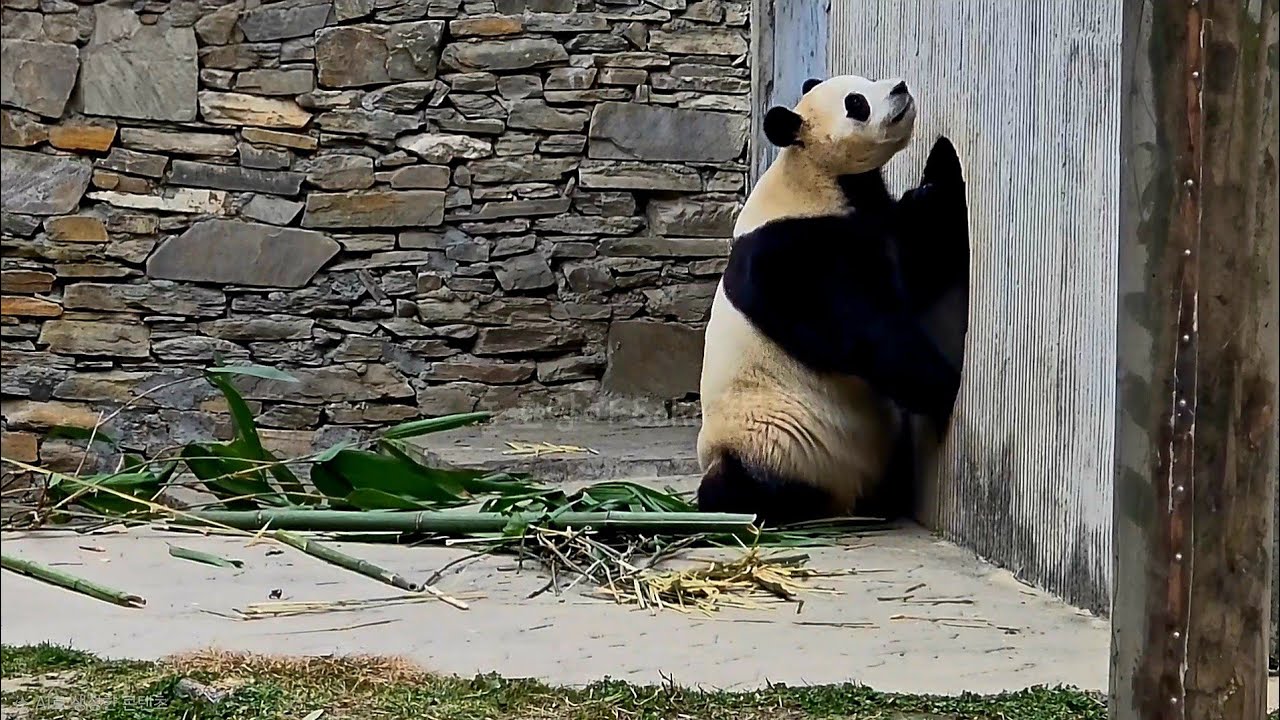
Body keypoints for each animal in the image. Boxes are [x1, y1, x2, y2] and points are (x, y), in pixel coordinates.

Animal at [695, 73, 969, 528]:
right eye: (856, 103)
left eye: (866, 80)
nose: (900, 86)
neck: (813, 176)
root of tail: (843, 498)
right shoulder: (793, 253)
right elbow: (864, 333)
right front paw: (943, 387)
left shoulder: (871, 220)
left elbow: (921, 259)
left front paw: (938, 179)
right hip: (770, 443)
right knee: (730, 490)